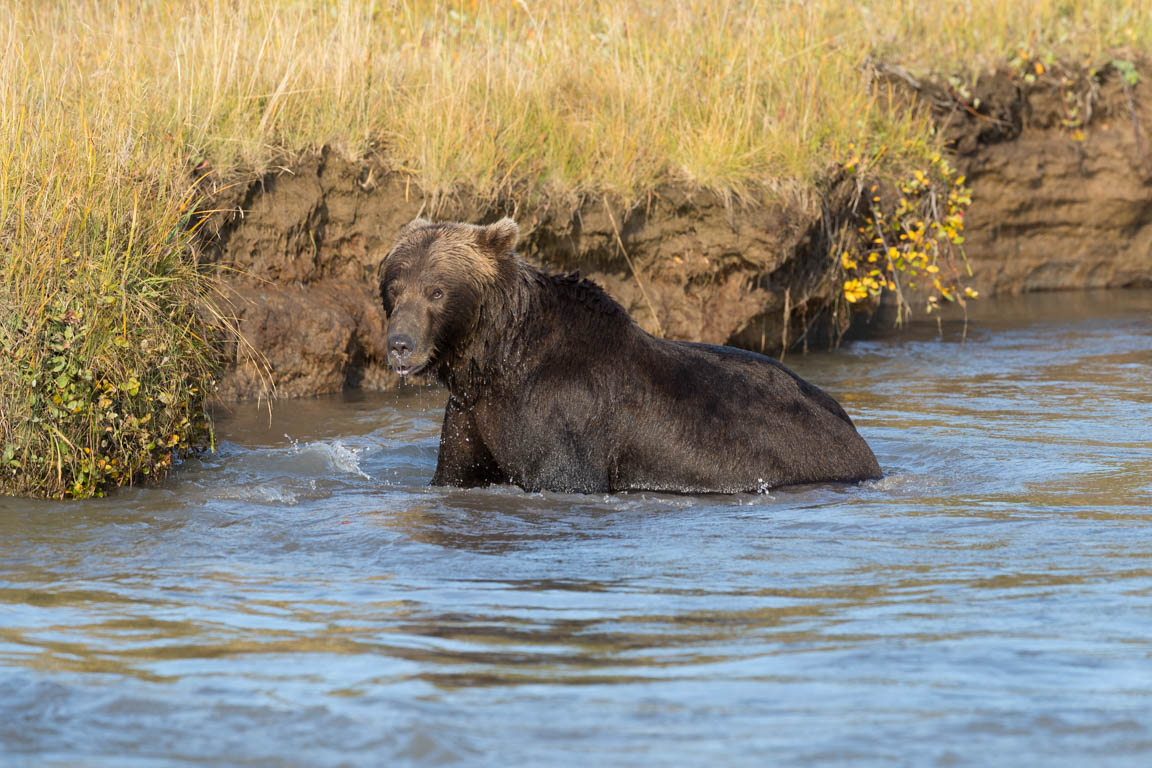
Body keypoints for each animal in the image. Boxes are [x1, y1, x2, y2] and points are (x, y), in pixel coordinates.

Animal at [380, 217, 880, 492]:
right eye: (395, 286)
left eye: (437, 290)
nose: (400, 344)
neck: (496, 357)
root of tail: (862, 447)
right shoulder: (472, 412)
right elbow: (456, 471)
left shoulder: (557, 415)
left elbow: (561, 475)